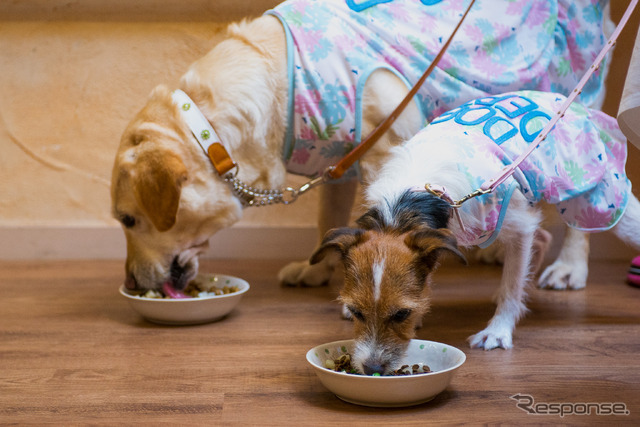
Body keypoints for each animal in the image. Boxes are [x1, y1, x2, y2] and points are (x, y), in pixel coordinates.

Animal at [111, 0, 616, 294]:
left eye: (129, 220)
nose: (131, 283)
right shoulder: (339, 161)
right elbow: (327, 220)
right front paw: (317, 269)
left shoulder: (382, 153)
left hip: (574, 108)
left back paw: (570, 266)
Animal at [312, 90, 640, 374]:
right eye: (355, 312)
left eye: (401, 314)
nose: (372, 369)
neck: (412, 198)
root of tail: (572, 104)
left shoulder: (519, 226)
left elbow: (512, 287)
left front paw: (498, 331)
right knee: (540, 241)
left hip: (594, 196)